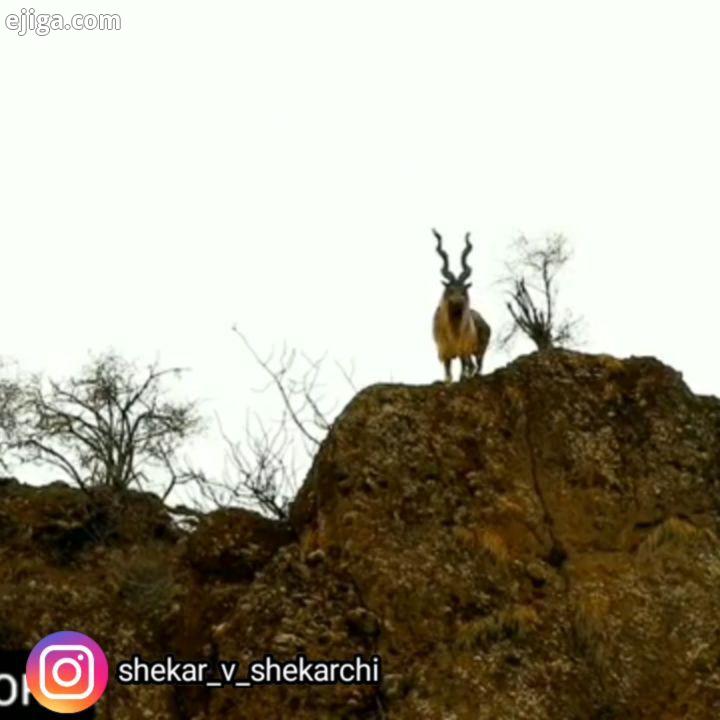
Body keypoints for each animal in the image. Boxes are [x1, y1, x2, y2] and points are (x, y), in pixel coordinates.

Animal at [430, 232, 492, 382]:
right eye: (451, 289)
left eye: (464, 290)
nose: (459, 300)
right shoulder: (444, 351)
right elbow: (448, 372)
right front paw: (447, 381)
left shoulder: (463, 350)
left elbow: (463, 368)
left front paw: (463, 377)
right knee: (472, 365)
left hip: (480, 350)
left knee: (477, 365)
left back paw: (475, 375)